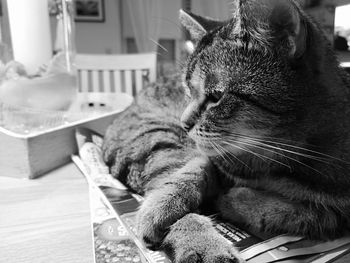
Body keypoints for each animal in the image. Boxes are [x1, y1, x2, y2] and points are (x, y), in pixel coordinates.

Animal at [101, 1, 350, 262]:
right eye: (187, 90)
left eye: (216, 96)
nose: (183, 123)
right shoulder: (213, 157)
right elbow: (195, 168)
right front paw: (160, 205)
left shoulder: (339, 213)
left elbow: (300, 212)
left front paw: (236, 200)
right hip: (154, 138)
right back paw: (202, 244)